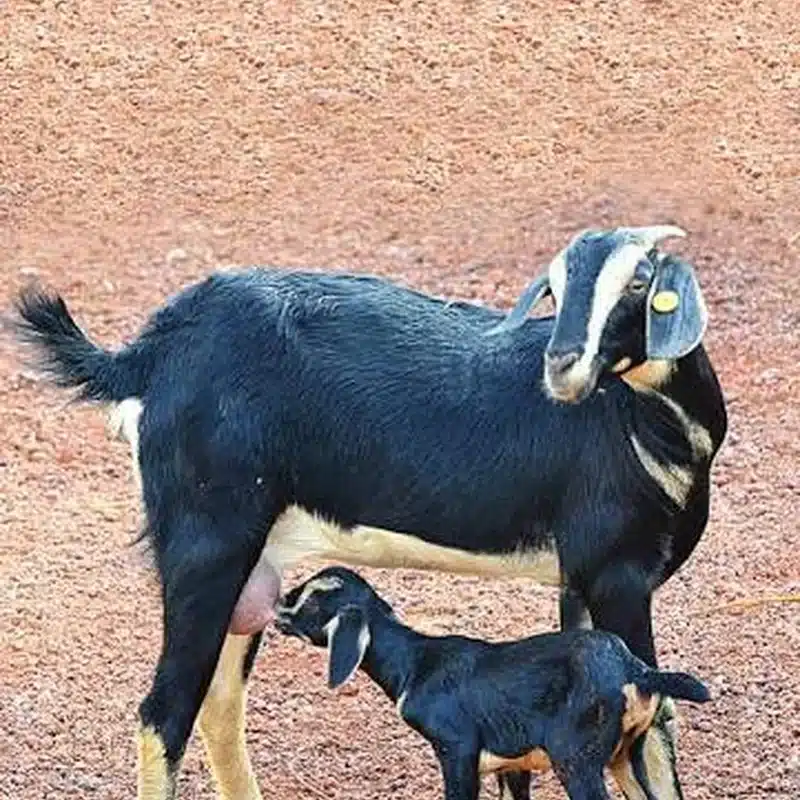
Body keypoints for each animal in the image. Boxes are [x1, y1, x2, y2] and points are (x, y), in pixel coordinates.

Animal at [275, 566, 712, 800]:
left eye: (311, 600)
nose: (277, 606)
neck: (415, 662)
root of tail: (633, 670)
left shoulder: (457, 750)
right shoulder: (512, 764)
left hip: (576, 759)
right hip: (627, 753)